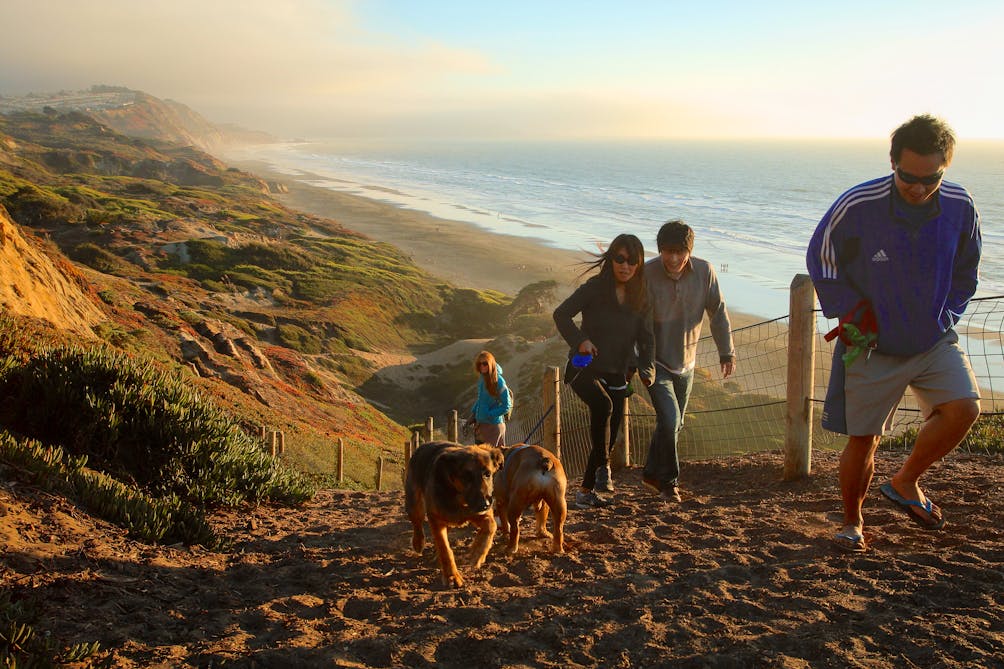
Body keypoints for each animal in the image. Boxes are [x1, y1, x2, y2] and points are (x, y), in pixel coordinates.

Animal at [403, 439, 506, 586]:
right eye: (466, 477)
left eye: (487, 474)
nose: (485, 505)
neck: (458, 497)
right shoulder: (436, 519)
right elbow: (445, 549)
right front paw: (451, 576)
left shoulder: (480, 514)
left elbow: (491, 525)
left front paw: (477, 553)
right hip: (414, 504)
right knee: (417, 523)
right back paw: (418, 543)